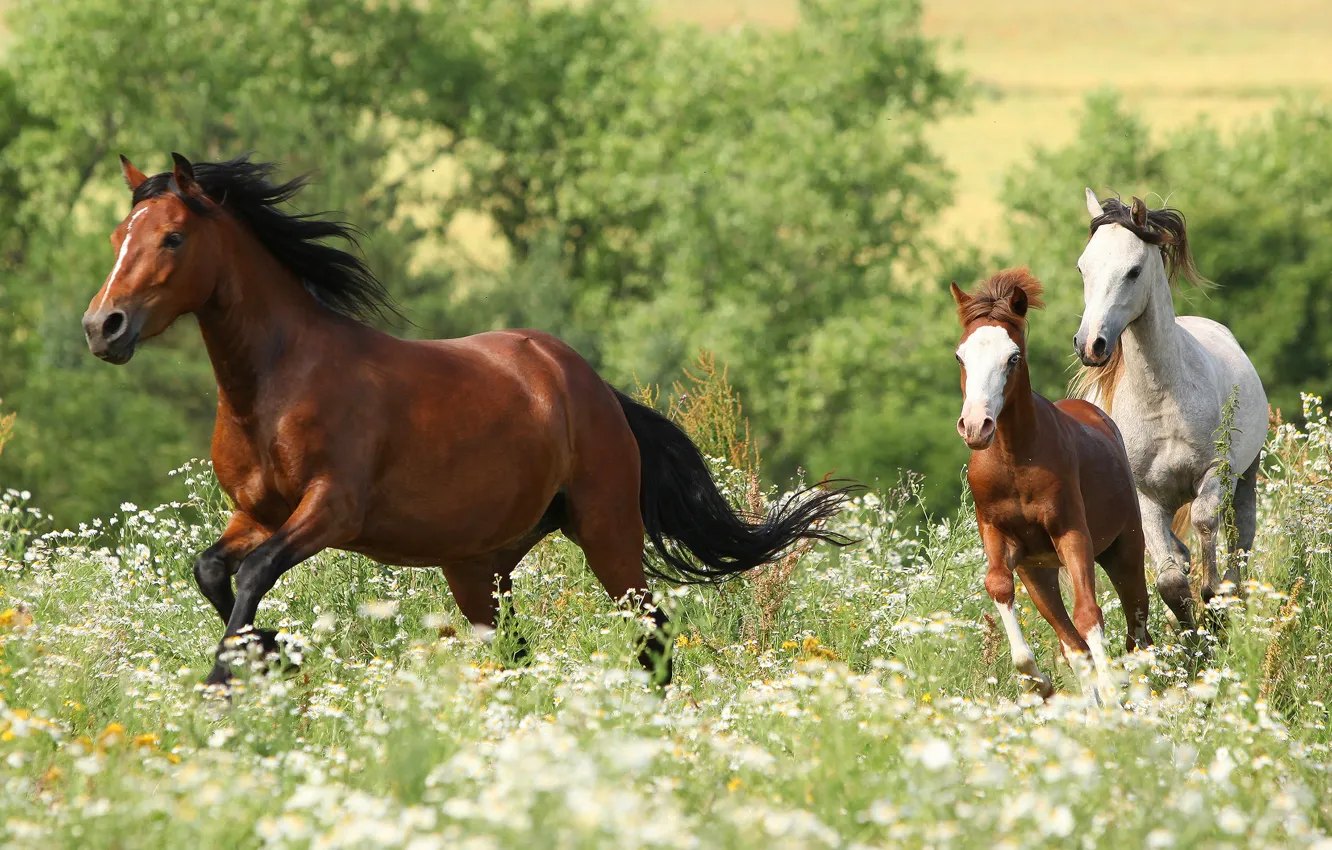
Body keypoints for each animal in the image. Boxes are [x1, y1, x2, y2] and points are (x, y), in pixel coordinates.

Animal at [81, 152, 854, 688]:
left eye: (173, 238)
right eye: (119, 233)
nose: (102, 327)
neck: (276, 384)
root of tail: (590, 385)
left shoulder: (331, 509)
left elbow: (253, 574)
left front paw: (231, 673)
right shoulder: (256, 512)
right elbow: (212, 569)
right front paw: (273, 650)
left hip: (607, 533)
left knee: (653, 633)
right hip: (479, 565)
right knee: (517, 649)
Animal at [951, 268, 1151, 702]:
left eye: (1013, 358)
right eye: (960, 356)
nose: (975, 426)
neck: (1014, 461)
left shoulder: (1071, 533)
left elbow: (1089, 614)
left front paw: (1111, 694)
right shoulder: (1000, 537)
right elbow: (999, 586)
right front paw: (1036, 681)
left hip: (1125, 548)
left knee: (1137, 626)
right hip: (1039, 573)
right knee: (1073, 643)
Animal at [1072, 191, 1268, 631]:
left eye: (1133, 271)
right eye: (1083, 267)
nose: (1090, 344)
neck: (1160, 402)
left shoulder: (1216, 472)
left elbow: (1205, 521)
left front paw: (1214, 600)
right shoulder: (1144, 495)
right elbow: (1169, 581)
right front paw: (1193, 631)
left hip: (1247, 474)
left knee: (1242, 535)